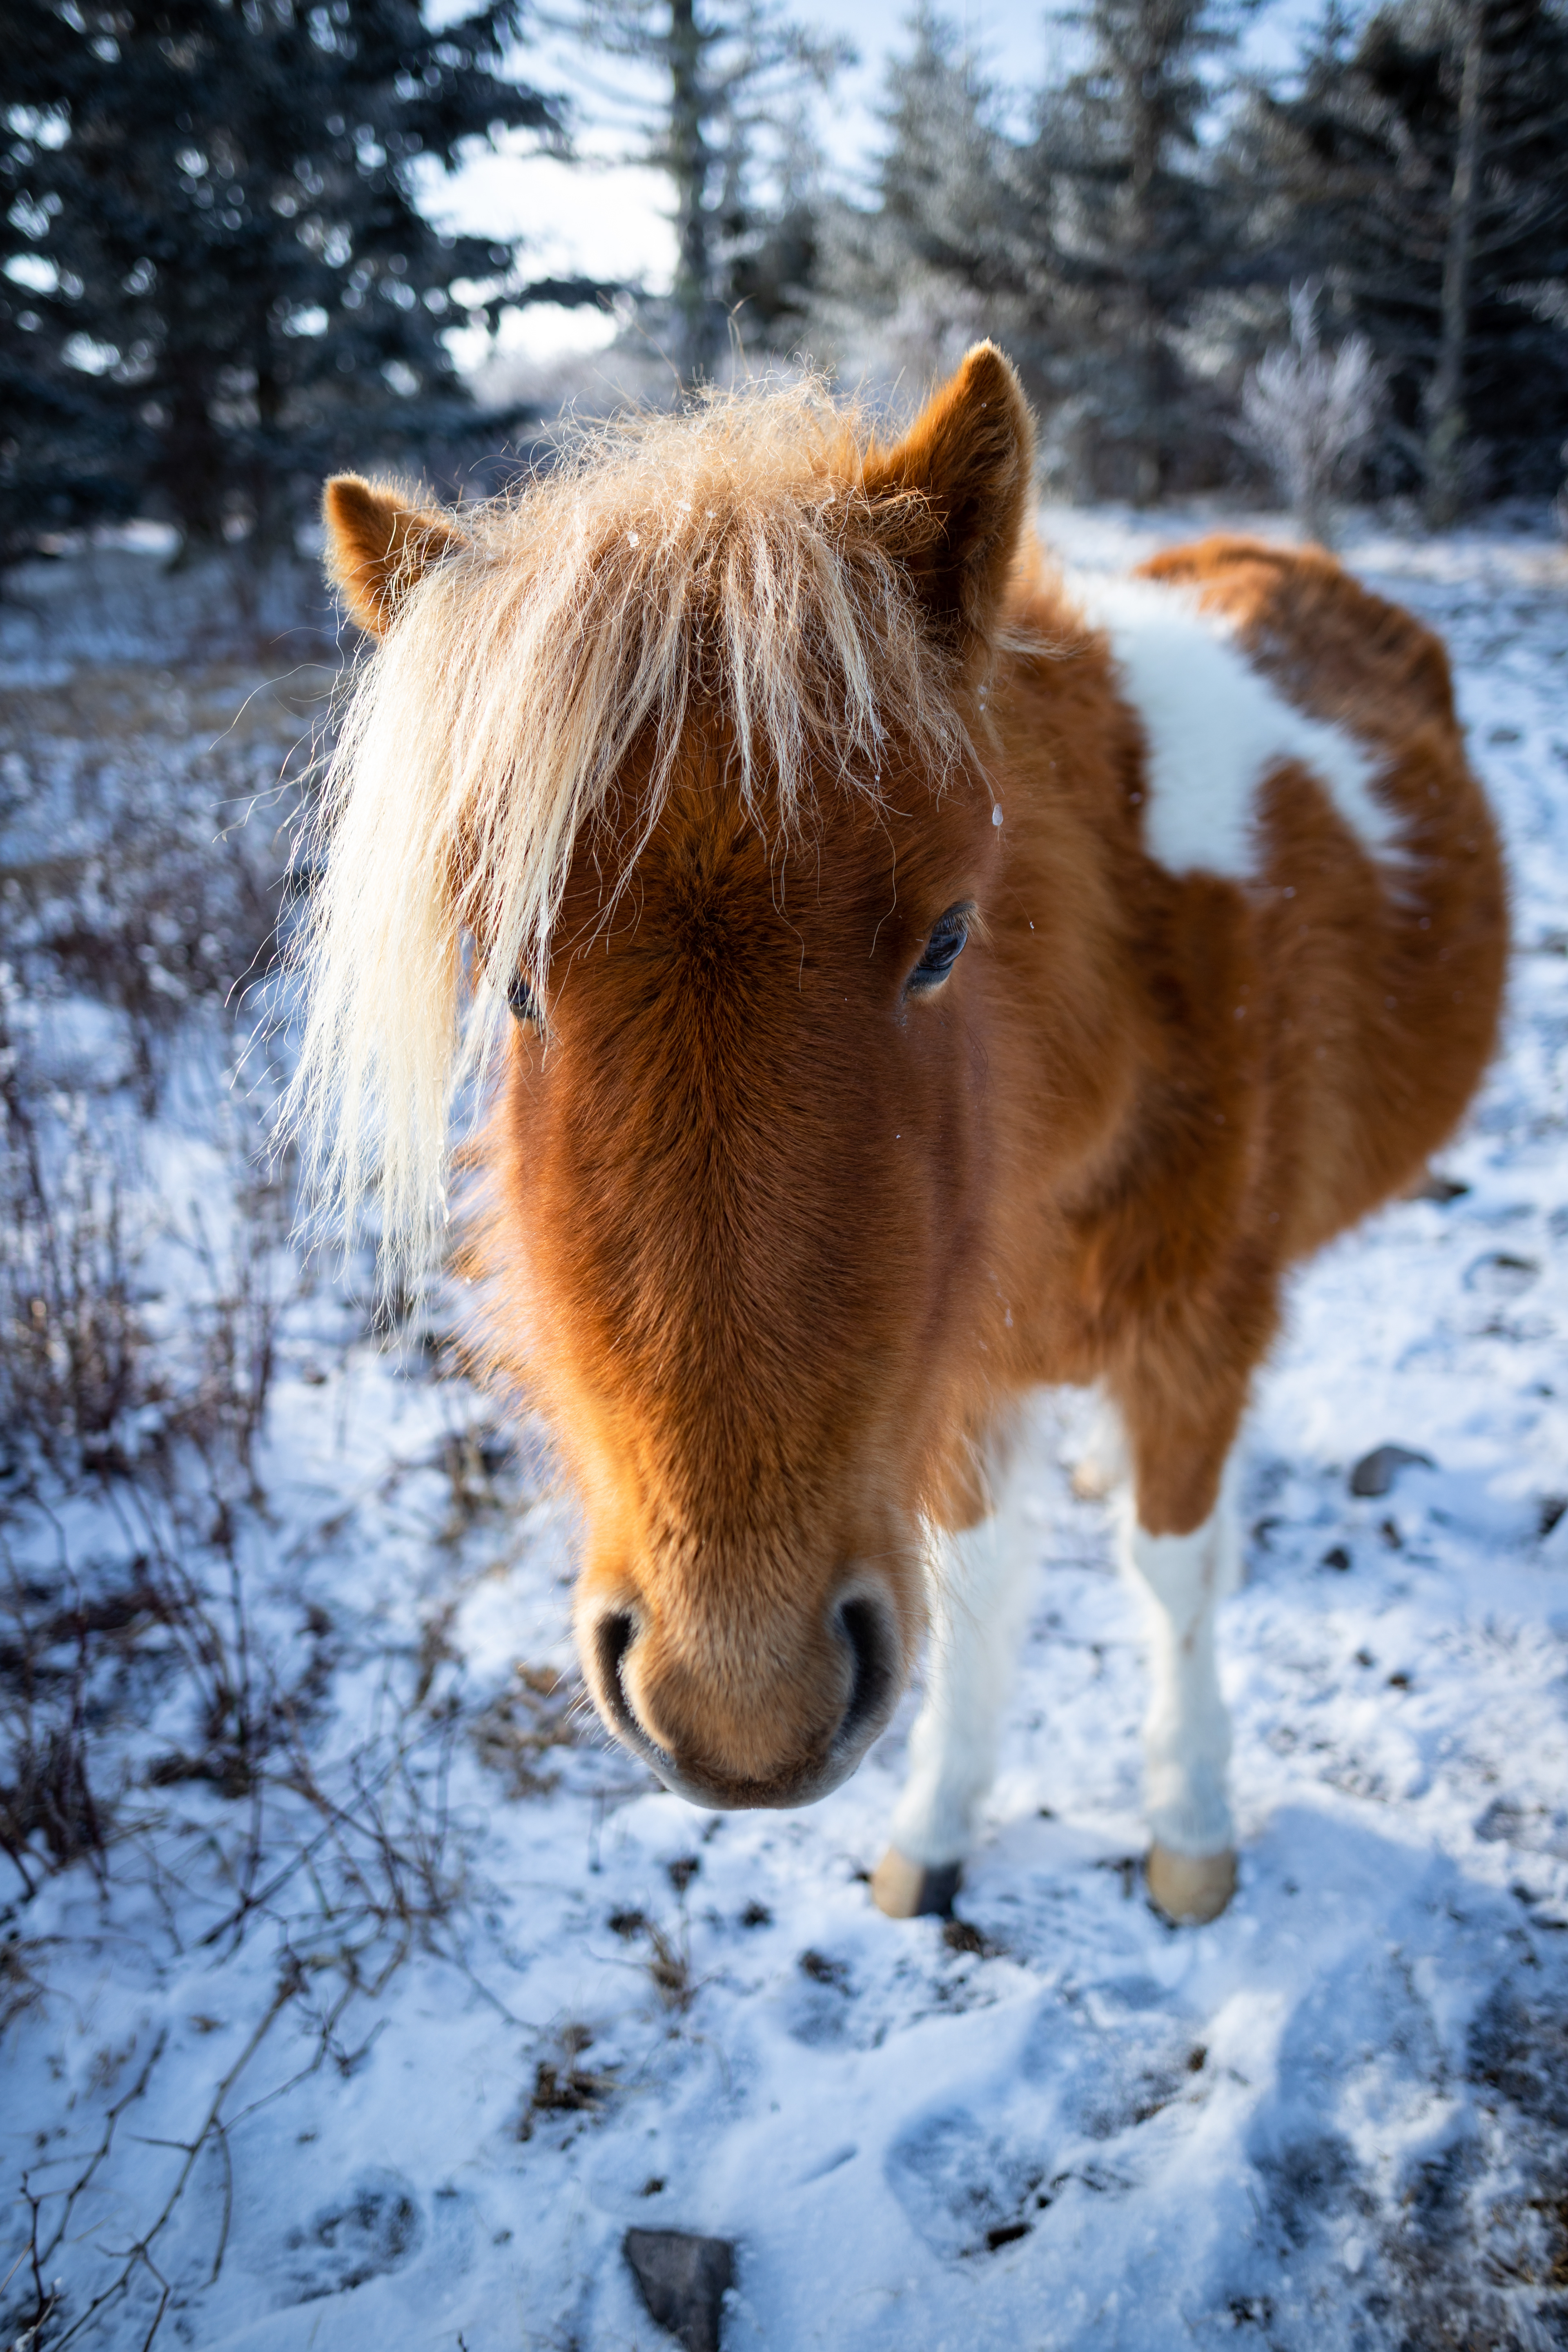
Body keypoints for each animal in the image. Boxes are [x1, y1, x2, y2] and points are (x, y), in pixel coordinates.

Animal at [294, 344, 1506, 1927]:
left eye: (945, 941)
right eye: (506, 977)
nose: (739, 1701)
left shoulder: (1195, 1335)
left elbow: (1174, 1576)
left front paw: (1188, 1822)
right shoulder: (965, 1387)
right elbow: (982, 1583)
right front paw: (939, 1824)